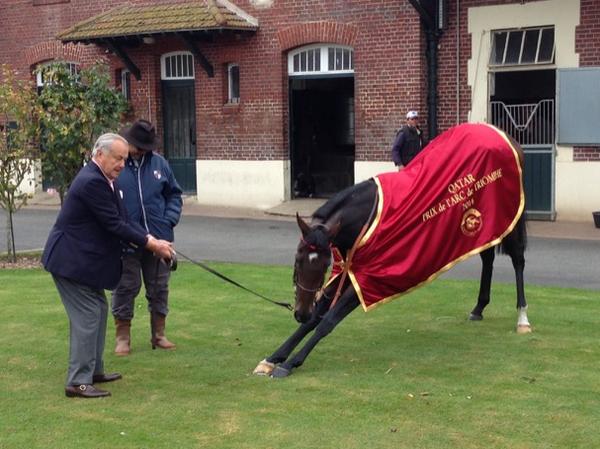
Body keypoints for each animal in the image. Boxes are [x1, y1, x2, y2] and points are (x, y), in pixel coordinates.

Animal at [253, 122, 528, 378]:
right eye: (298, 260)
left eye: (322, 264)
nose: (300, 312)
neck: (368, 218)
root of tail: (505, 136)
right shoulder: (348, 271)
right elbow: (316, 317)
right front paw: (274, 357)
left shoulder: (369, 279)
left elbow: (327, 321)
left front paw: (290, 363)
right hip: (486, 225)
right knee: (488, 256)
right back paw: (478, 308)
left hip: (508, 216)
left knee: (518, 260)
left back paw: (522, 319)